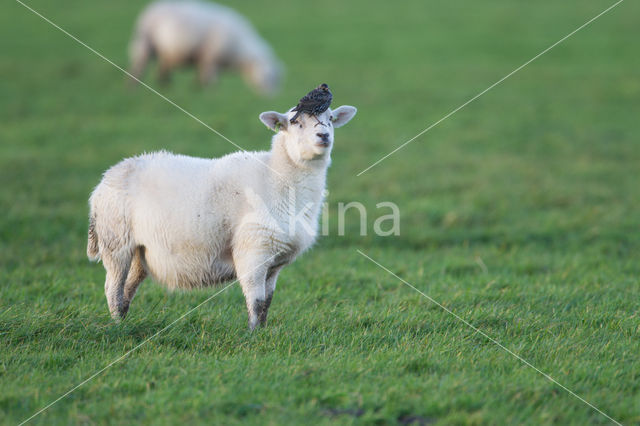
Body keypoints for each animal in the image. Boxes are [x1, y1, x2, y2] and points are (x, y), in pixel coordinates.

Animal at [87, 96, 358, 330]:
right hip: (116, 242)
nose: (323, 136)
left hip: (139, 252)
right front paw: (253, 335)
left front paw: (263, 331)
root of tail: (104, 181)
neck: (276, 176)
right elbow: (256, 301)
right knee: (112, 288)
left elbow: (268, 302)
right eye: (296, 123)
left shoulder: (274, 263)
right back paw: (117, 326)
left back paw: (124, 321)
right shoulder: (253, 251)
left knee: (126, 290)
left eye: (331, 118)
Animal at [127, 0, 282, 95]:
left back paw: (165, 88)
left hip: (165, 52)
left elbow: (201, 77)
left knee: (163, 70)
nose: (270, 97)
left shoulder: (204, 59)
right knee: (138, 68)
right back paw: (132, 89)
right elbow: (210, 80)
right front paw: (211, 94)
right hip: (145, 43)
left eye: (277, 79)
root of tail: (152, 7)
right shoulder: (211, 58)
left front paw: (196, 90)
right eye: (268, 76)